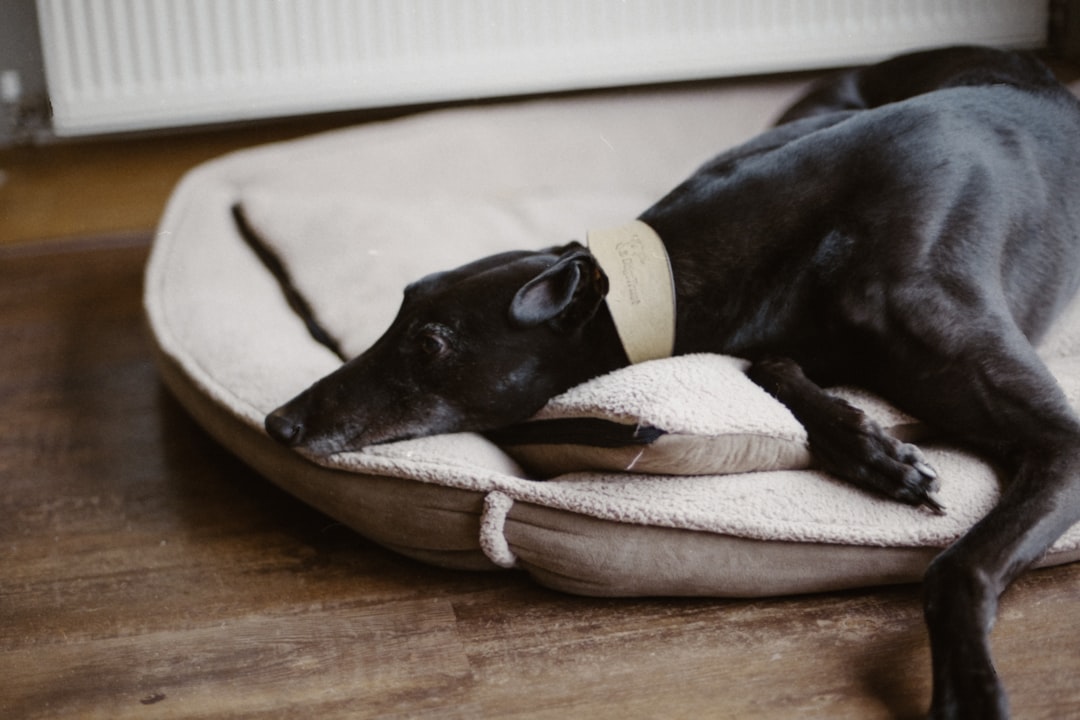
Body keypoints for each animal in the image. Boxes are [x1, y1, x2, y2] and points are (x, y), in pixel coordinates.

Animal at [263, 47, 1080, 716]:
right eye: (400, 308)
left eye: (429, 344)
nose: (279, 422)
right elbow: (770, 365)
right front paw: (870, 449)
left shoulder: (1062, 438)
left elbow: (957, 568)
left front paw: (972, 693)